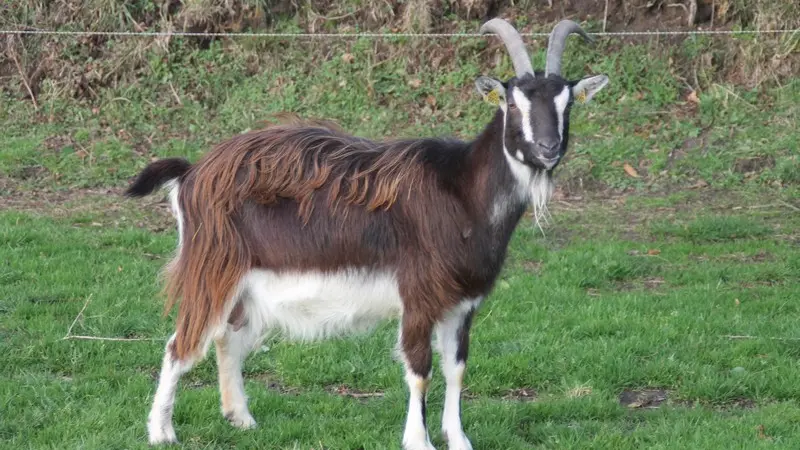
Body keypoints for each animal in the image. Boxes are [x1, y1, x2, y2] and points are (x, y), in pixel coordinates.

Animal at [128, 17, 608, 450]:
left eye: (568, 103)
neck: (460, 192)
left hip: (246, 283)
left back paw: (240, 417)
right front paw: (419, 441)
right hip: (213, 266)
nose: (547, 149)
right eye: (511, 104)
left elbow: (456, 368)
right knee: (181, 344)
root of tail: (192, 172)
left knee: (228, 335)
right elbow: (420, 369)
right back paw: (161, 432)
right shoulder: (418, 294)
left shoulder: (462, 302)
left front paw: (459, 440)